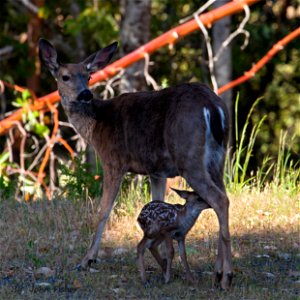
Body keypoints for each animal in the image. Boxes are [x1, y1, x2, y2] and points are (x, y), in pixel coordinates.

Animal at [38, 38, 233, 290]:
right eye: (65, 76)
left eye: (88, 76)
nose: (85, 94)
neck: (95, 125)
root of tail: (213, 107)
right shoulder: (157, 170)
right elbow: (157, 202)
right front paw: (164, 264)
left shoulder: (113, 161)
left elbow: (103, 211)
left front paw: (87, 260)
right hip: (218, 158)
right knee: (224, 197)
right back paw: (218, 272)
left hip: (189, 157)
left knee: (220, 199)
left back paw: (226, 276)